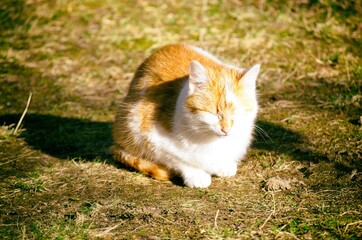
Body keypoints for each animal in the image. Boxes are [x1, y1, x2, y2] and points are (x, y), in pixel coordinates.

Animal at [113, 44, 260, 188]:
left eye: (237, 113)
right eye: (214, 114)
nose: (226, 130)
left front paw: (221, 165)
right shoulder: (149, 136)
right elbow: (178, 160)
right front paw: (196, 175)